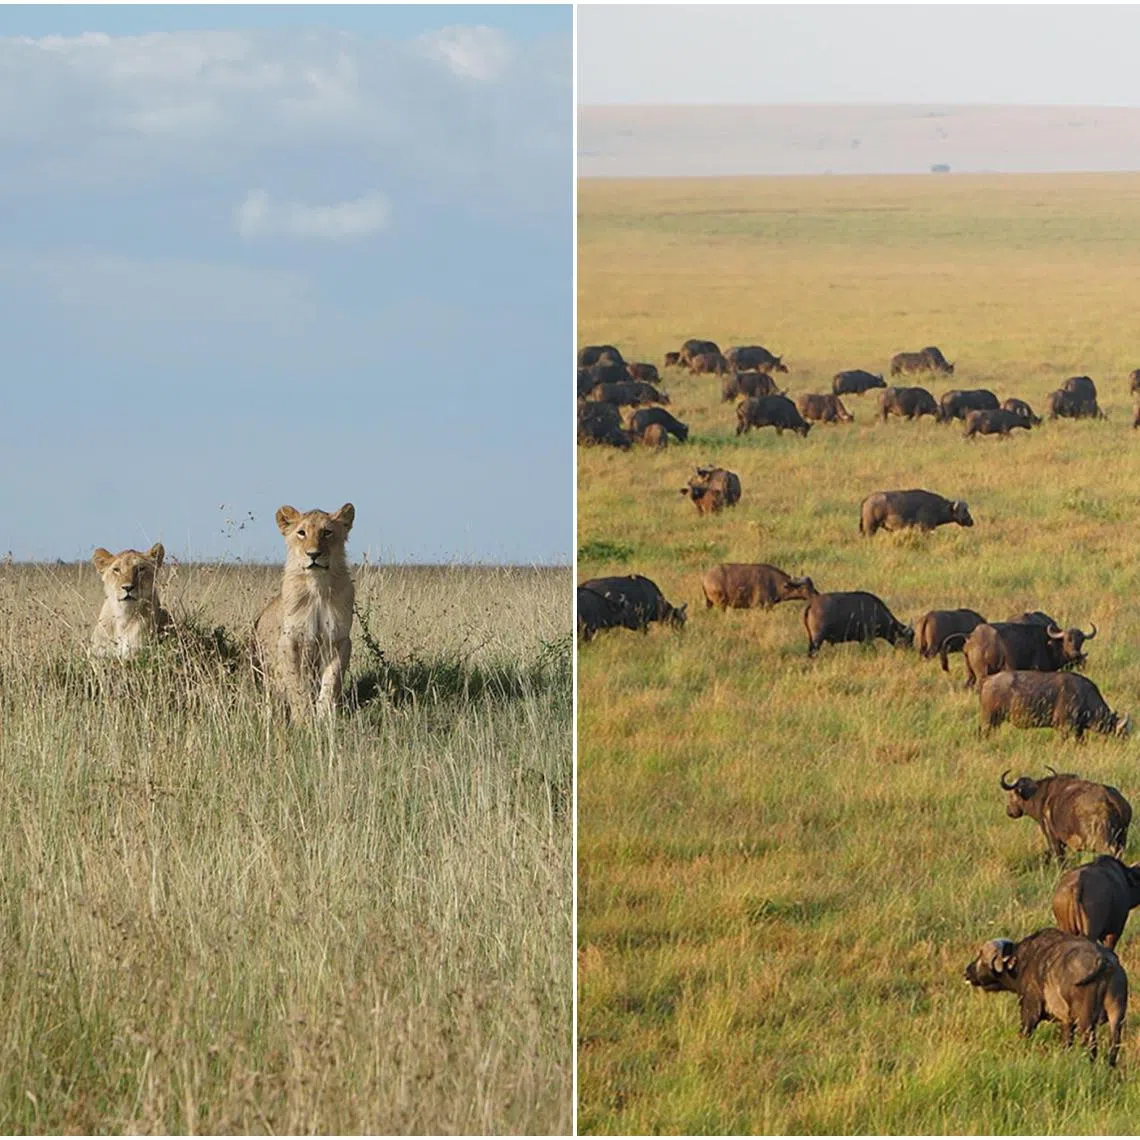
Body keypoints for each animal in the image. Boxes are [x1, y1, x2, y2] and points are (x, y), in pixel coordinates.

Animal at [252, 503, 356, 715]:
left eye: (327, 532)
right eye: (301, 533)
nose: (313, 554)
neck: (317, 587)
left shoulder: (339, 640)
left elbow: (331, 680)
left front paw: (324, 716)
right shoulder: (289, 640)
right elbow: (296, 684)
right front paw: (304, 718)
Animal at [964, 929, 1127, 1066]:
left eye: (982, 957)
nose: (967, 972)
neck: (1023, 962)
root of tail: (1105, 961)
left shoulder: (1030, 1009)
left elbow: (1025, 1032)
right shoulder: (1066, 1022)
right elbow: (1066, 1043)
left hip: (1085, 1021)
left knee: (1091, 1046)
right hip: (1116, 1015)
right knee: (1114, 1045)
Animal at [981, 671, 1131, 740]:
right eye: (1122, 731)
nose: (1126, 740)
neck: (1083, 695)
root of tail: (989, 679)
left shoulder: (1078, 729)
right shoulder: (1065, 727)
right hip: (989, 719)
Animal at [1000, 768, 1131, 860]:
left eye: (1011, 795)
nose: (1008, 811)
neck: (1039, 795)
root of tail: (1110, 798)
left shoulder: (1053, 839)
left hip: (1101, 841)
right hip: (1122, 839)